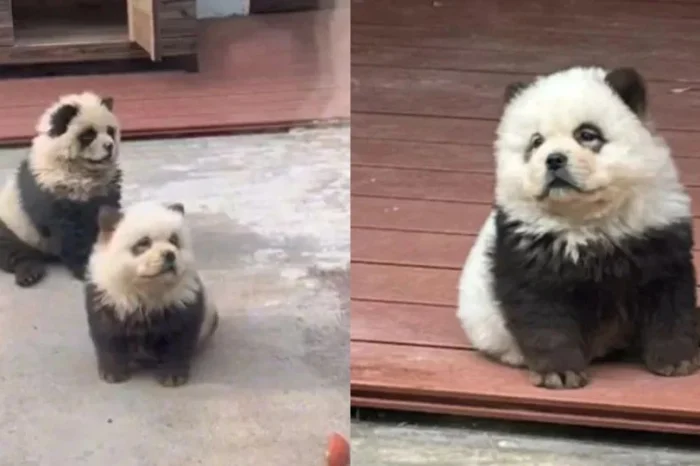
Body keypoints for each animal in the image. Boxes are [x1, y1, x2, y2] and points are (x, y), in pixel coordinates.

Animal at [0, 91, 122, 287]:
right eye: (89, 135)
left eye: (110, 131)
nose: (109, 146)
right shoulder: (51, 187)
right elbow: (68, 232)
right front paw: (85, 267)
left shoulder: (107, 187)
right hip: (12, 222)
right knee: (11, 249)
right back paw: (28, 272)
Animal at [84, 201, 219, 387]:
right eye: (143, 243)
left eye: (174, 240)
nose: (169, 254)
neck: (148, 289)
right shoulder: (108, 297)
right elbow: (108, 335)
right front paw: (113, 373)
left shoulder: (183, 300)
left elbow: (178, 339)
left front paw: (172, 376)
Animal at [457, 66, 699, 389]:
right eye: (536, 142)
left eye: (587, 135)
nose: (554, 159)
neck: (586, 217)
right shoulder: (529, 246)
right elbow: (543, 313)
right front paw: (559, 373)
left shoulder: (655, 232)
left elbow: (669, 299)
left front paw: (677, 361)